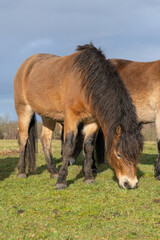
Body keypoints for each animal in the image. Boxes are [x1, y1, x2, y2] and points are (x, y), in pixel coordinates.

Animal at [13, 43, 142, 189]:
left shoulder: (92, 121)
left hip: (48, 116)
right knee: (23, 139)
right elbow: (68, 145)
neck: (86, 83)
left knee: (45, 139)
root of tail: (26, 65)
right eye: (119, 154)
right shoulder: (71, 117)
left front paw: (88, 177)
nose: (131, 183)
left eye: (137, 153)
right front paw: (62, 181)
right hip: (24, 110)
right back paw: (22, 172)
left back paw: (53, 171)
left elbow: (88, 146)